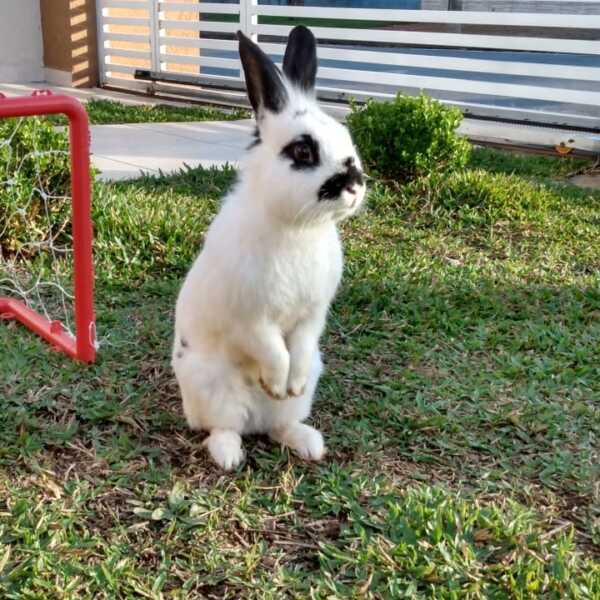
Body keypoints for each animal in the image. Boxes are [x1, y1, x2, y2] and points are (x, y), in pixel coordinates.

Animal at [170, 25, 366, 472]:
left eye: (346, 139)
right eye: (303, 151)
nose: (355, 184)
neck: (297, 228)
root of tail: (255, 421)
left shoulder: (313, 315)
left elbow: (300, 347)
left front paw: (287, 386)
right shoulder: (251, 320)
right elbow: (274, 353)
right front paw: (275, 383)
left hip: (305, 388)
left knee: (280, 425)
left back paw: (308, 442)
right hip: (213, 389)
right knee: (224, 427)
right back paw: (228, 456)